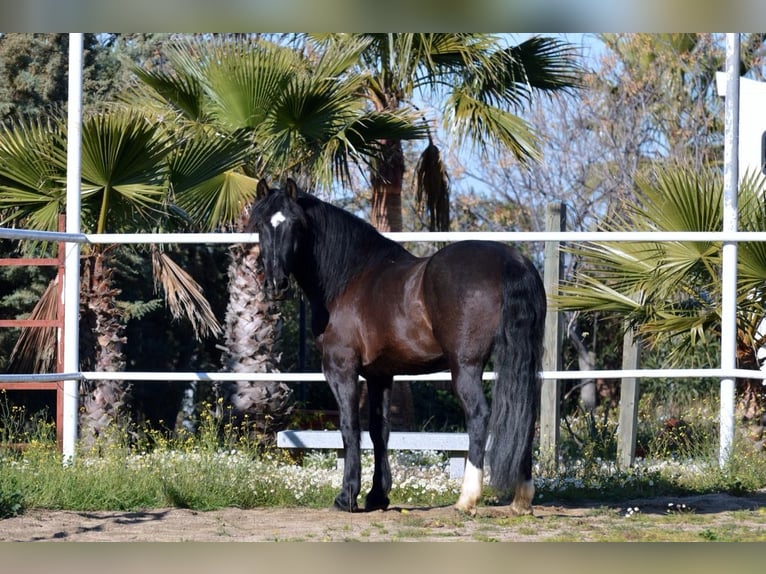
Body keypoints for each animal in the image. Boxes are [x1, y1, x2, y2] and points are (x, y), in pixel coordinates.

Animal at [248, 180, 544, 516]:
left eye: (295, 224)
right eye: (261, 225)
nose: (275, 284)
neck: (350, 278)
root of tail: (511, 261)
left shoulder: (341, 369)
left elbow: (350, 428)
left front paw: (347, 497)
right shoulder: (380, 375)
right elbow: (380, 430)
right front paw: (377, 496)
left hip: (465, 366)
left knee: (479, 416)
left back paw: (467, 498)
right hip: (523, 362)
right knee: (525, 415)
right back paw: (522, 499)